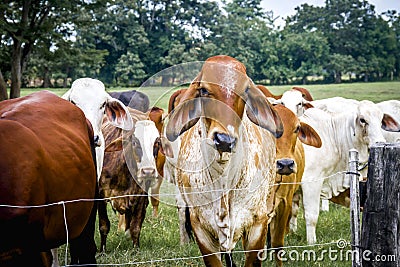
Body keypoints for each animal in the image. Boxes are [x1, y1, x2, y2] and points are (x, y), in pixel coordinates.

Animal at [294, 100, 400, 245]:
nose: (380, 142)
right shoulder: (311, 182)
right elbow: (311, 216)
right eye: (362, 120)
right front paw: (311, 243)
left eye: (381, 120)